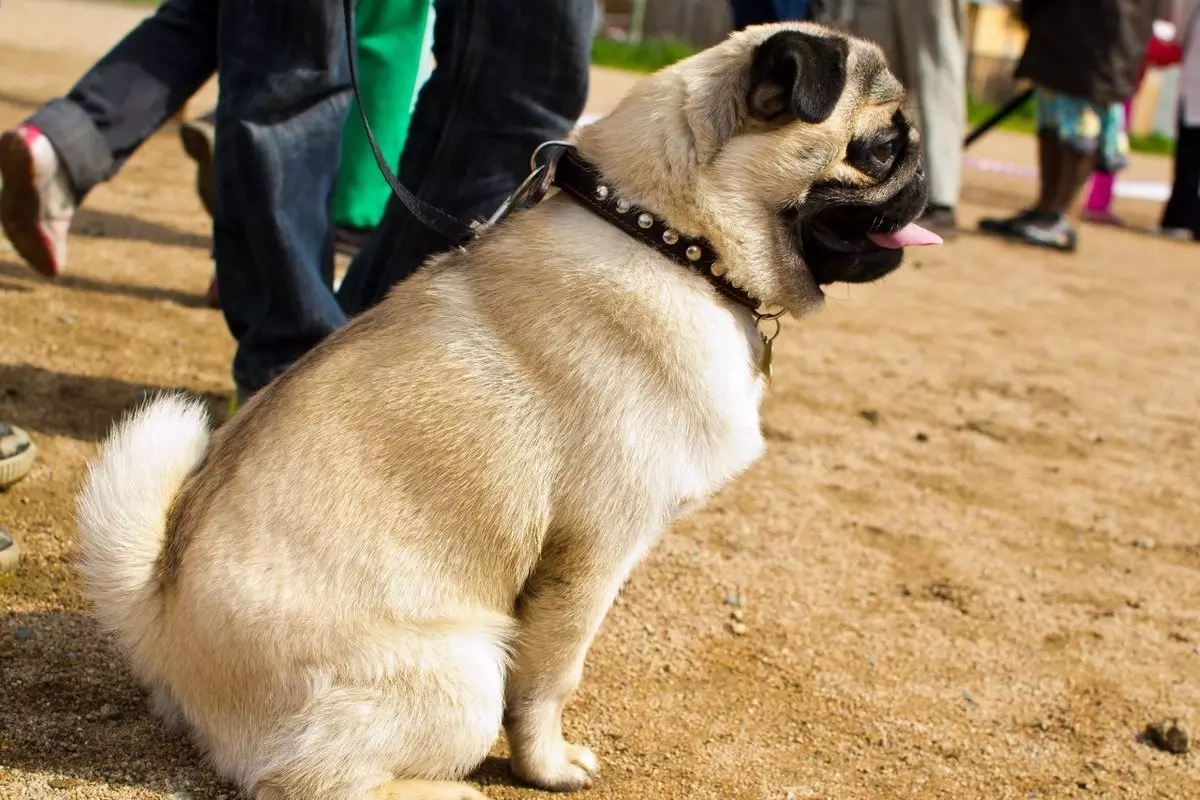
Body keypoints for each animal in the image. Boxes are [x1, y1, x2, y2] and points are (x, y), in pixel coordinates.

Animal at [77, 21, 936, 800]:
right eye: (879, 148)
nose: (925, 172)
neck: (671, 238)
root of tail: (161, 621)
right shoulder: (593, 553)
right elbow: (551, 679)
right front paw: (547, 768)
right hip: (464, 670)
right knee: (306, 781)